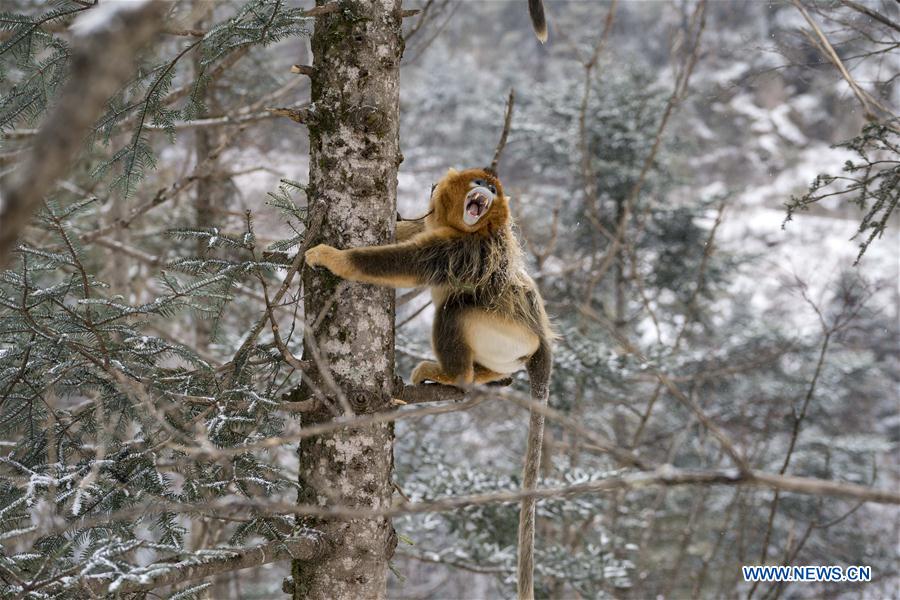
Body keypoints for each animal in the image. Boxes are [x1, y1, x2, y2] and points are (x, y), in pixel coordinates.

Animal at [304, 167, 552, 600]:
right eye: (480, 184)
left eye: (492, 188)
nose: (485, 191)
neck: (472, 227)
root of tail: (540, 341)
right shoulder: (437, 228)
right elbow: (408, 233)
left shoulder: (464, 250)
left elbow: (404, 260)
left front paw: (331, 257)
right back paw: (485, 376)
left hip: (507, 331)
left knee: (457, 308)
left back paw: (456, 377)